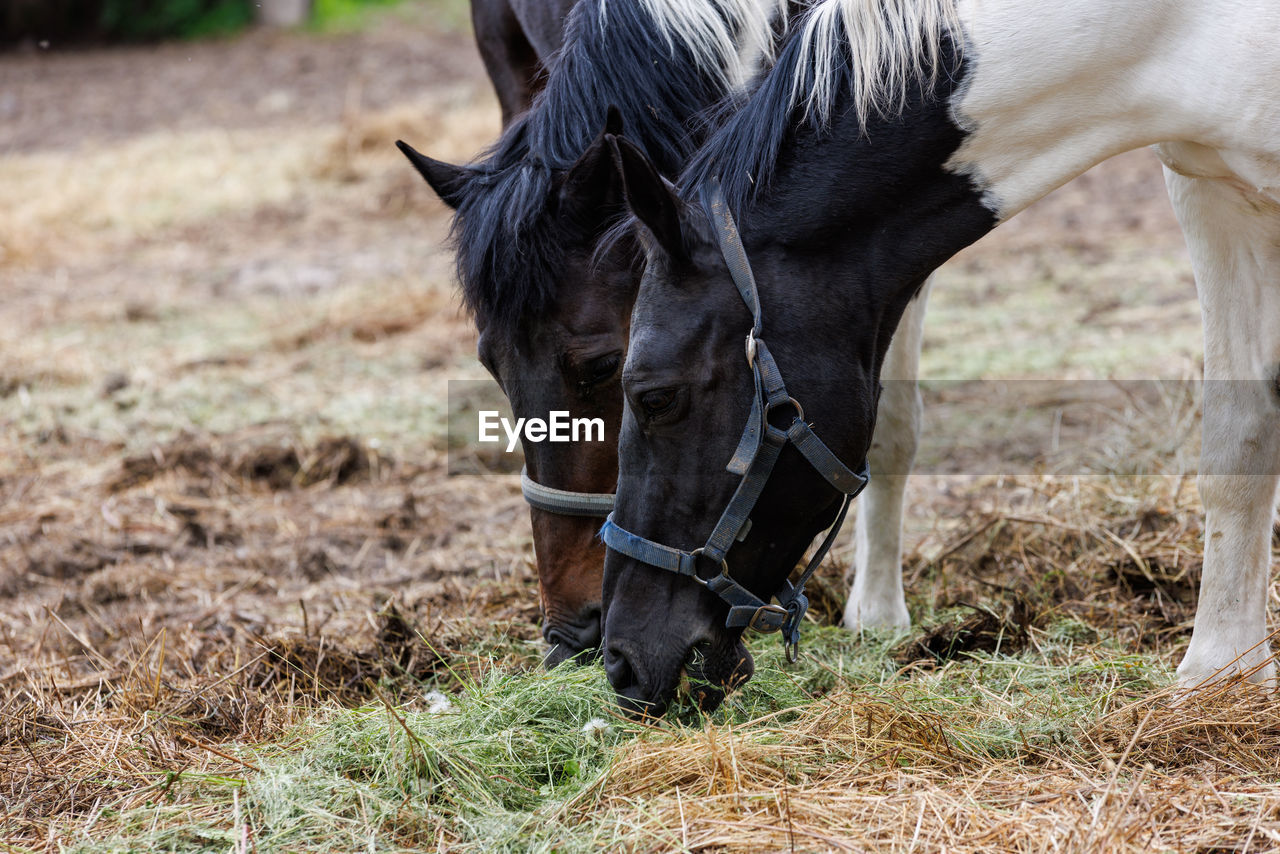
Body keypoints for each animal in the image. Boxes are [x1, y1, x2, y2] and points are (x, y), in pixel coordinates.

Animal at [604, 0, 1280, 717]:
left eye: (654, 397)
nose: (618, 662)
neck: (1178, 26)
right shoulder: (1211, 194)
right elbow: (1238, 443)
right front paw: (1223, 673)